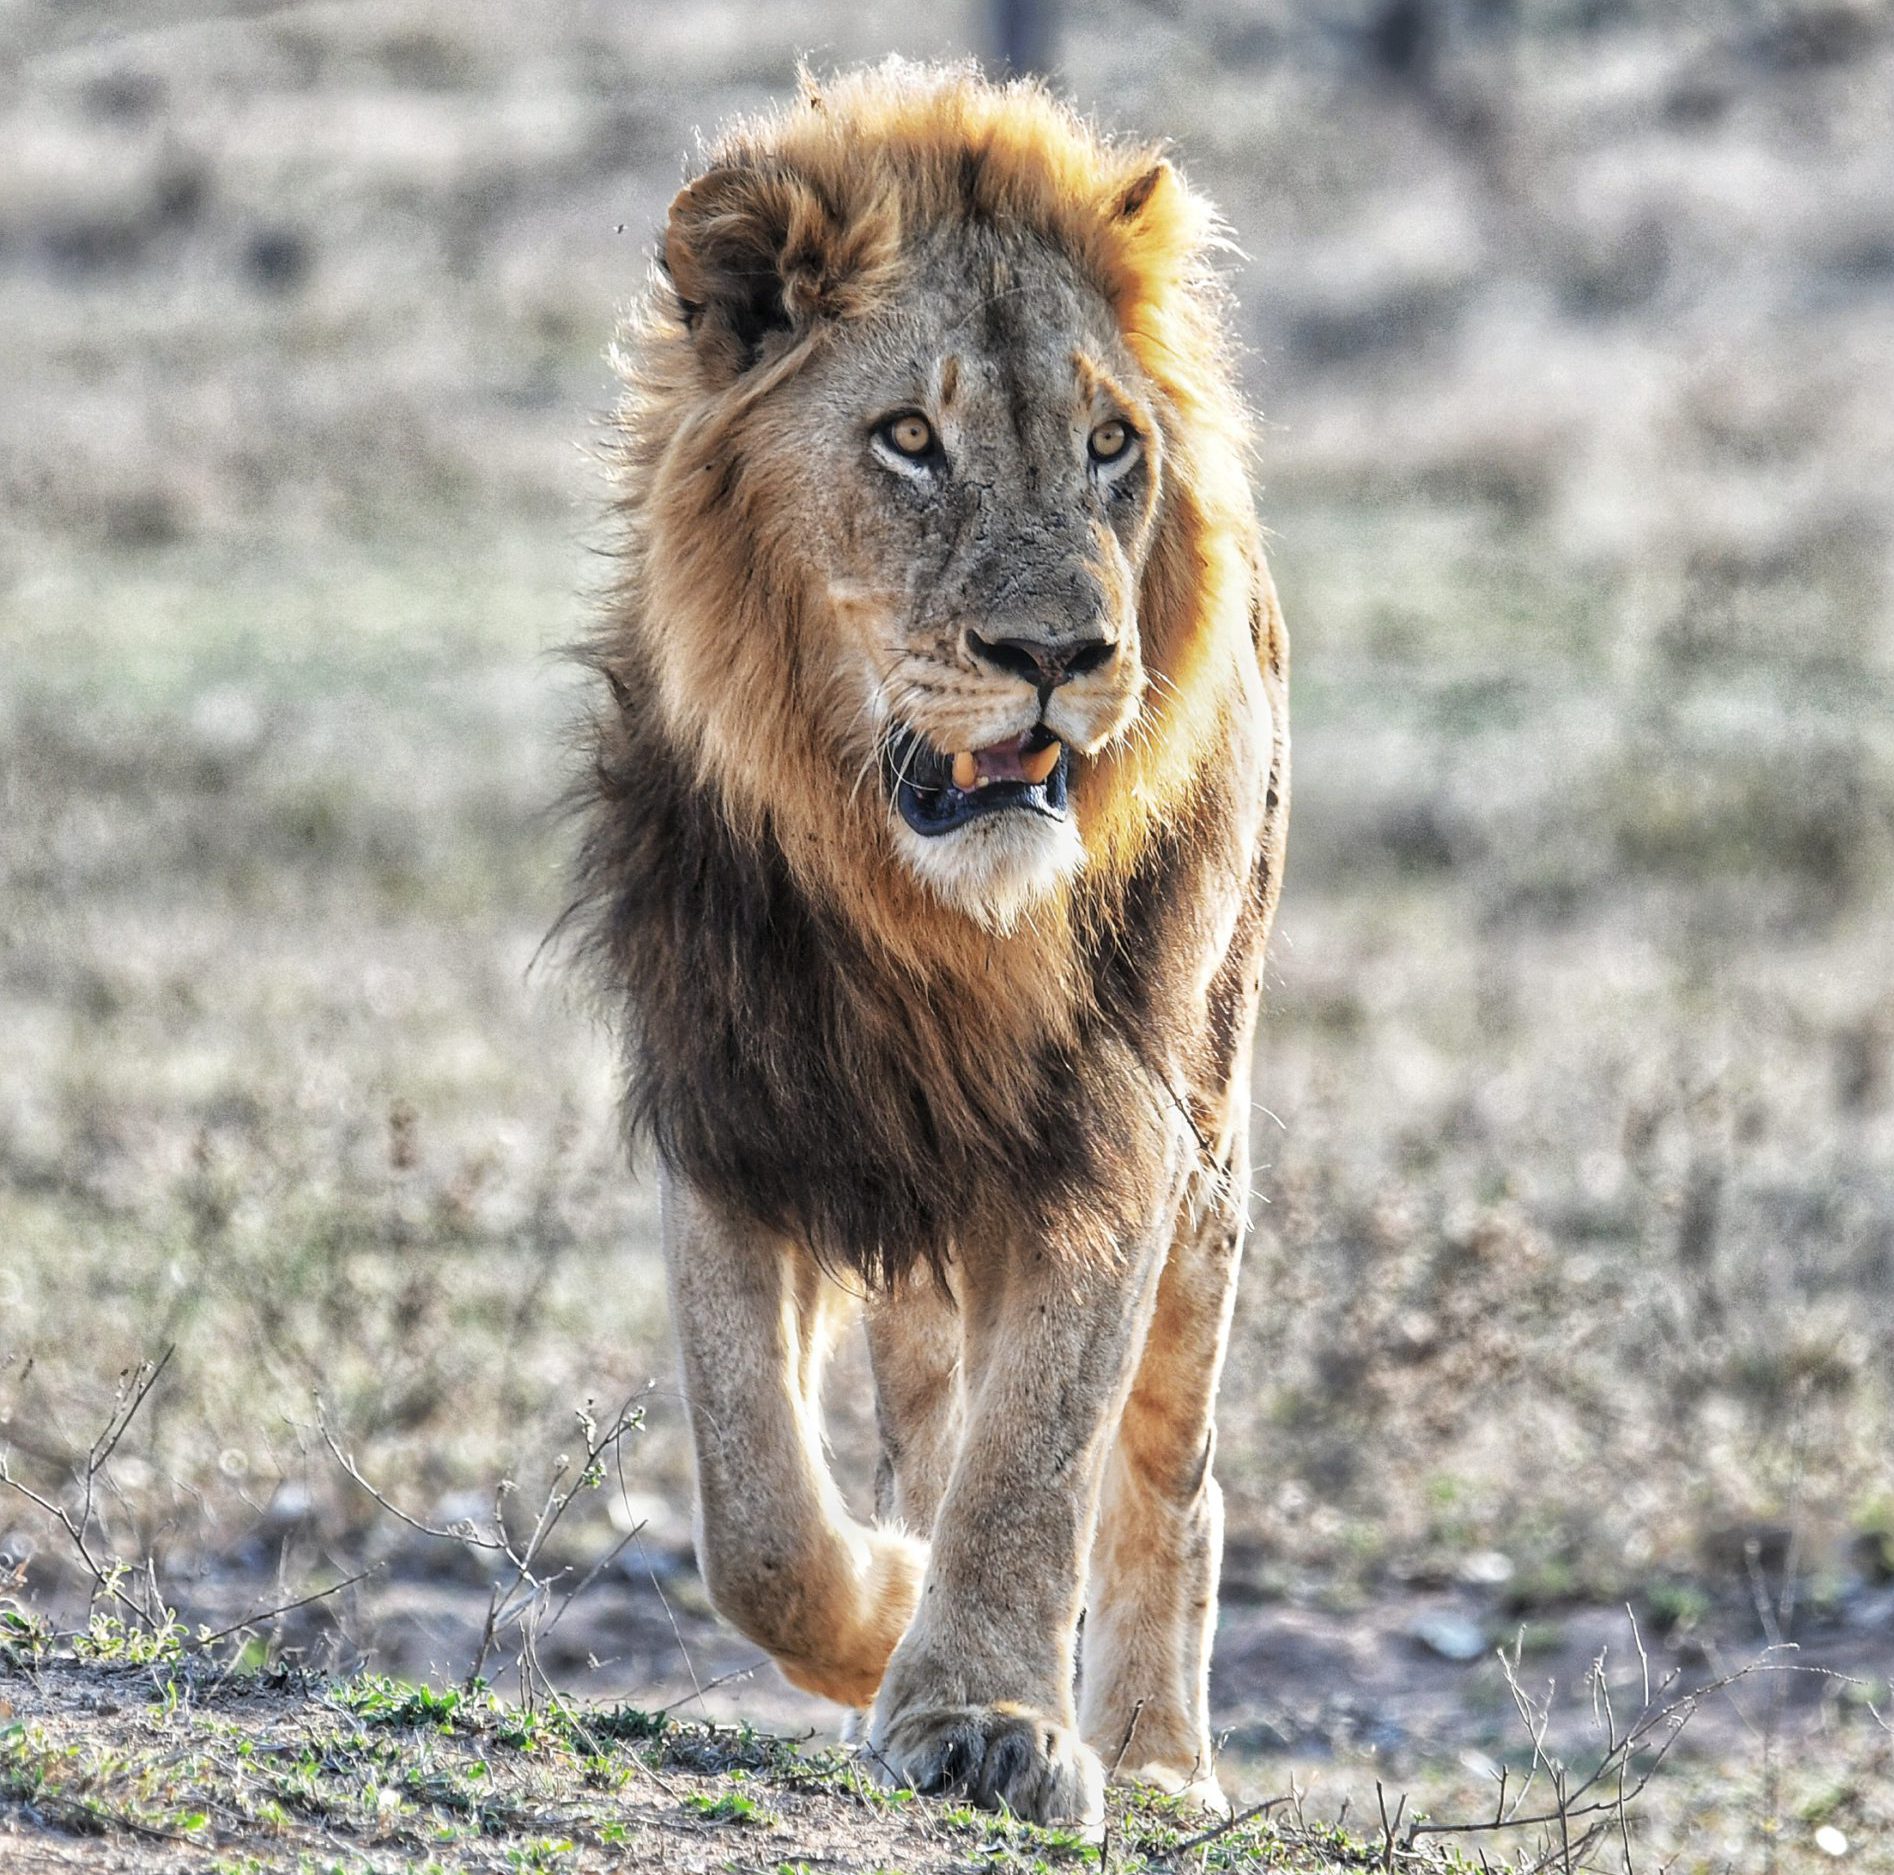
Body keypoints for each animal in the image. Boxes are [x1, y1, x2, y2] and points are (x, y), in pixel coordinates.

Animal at [564, 62, 1287, 1833]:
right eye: (907, 438)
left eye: (1109, 445)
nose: (1059, 654)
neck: (923, 915)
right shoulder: (731, 1095)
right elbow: (755, 1510)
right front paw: (887, 1607)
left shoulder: (1117, 1126)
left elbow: (1040, 1452)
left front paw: (990, 1715)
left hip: (1217, 1141)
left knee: (1170, 1476)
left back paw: (1159, 1756)